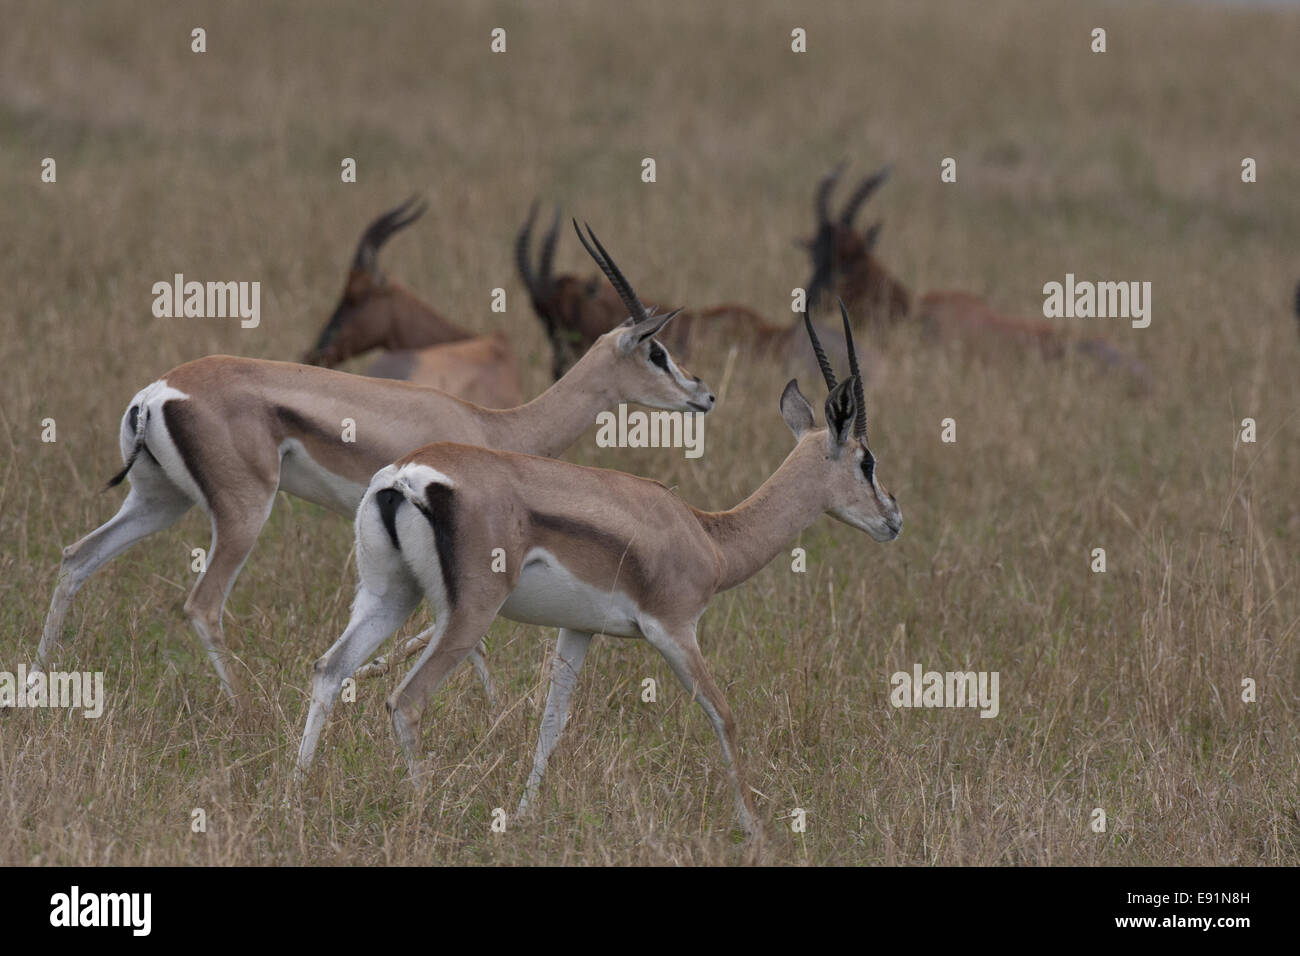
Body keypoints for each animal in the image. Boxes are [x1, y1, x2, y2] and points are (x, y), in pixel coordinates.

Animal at [34, 224, 714, 709]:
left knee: (76, 558)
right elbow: (459, 636)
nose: (703, 394)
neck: (495, 424)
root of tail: (159, 392)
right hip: (245, 512)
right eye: (657, 351)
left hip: (158, 501)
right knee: (202, 605)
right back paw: (248, 711)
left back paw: (41, 680)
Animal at [295, 296, 901, 838]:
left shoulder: (579, 629)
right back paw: (426, 810)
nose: (893, 517)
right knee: (406, 701)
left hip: (391, 595)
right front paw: (755, 829)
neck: (708, 536)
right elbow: (724, 714)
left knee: (329, 668)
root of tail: (406, 476)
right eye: (867, 461)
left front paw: (523, 817)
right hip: (468, 615)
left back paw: (291, 794)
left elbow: (551, 722)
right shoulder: (674, 631)